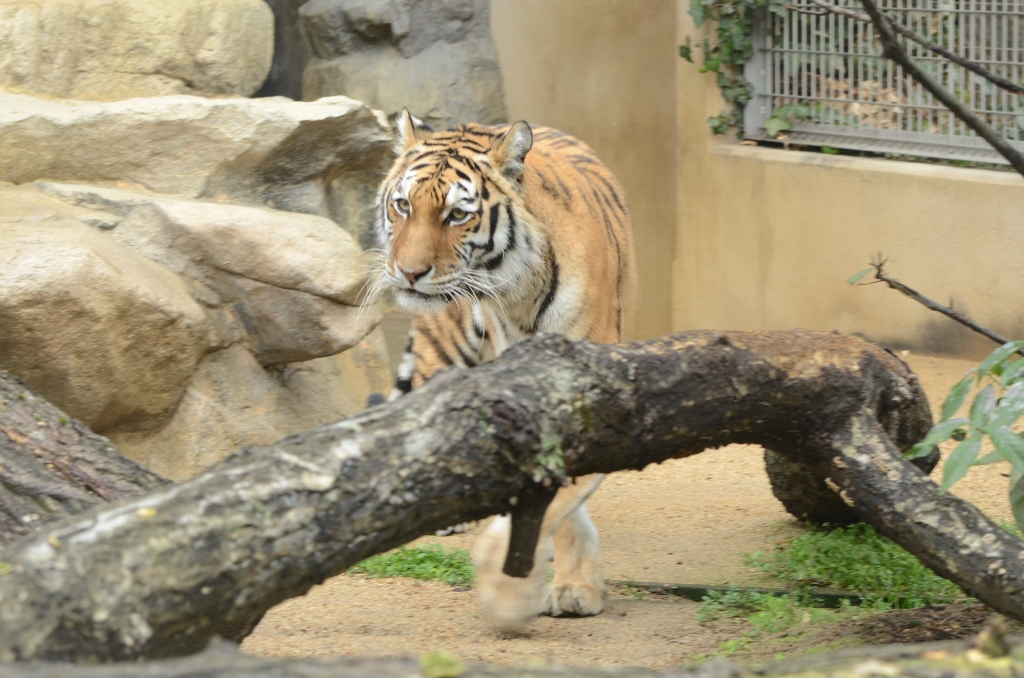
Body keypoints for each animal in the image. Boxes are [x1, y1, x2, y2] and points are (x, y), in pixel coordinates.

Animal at [372, 109, 634, 630]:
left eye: (457, 214)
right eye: (403, 206)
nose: (407, 273)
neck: (517, 293)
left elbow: (563, 495)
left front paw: (559, 587)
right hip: (445, 354)